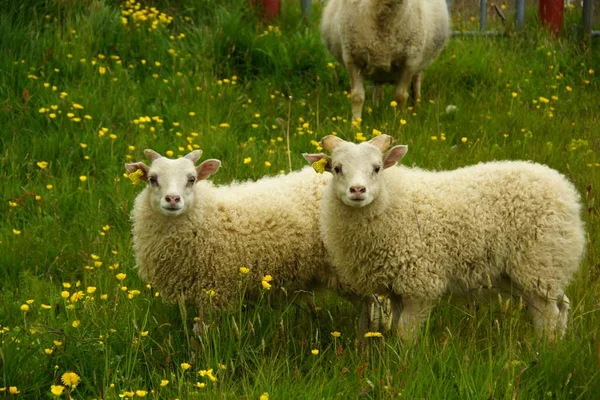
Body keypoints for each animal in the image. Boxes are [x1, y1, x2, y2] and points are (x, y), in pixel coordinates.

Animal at [125, 148, 386, 332]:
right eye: (152, 179)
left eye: (191, 179)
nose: (172, 199)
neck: (206, 213)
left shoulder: (214, 288)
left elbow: (202, 332)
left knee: (373, 306)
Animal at [302, 135, 584, 340]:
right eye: (337, 168)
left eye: (377, 168)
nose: (357, 190)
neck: (392, 199)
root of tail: (565, 189)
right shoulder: (396, 287)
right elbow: (395, 326)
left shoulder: (419, 282)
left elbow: (405, 332)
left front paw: (405, 366)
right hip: (546, 267)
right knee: (562, 307)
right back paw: (557, 346)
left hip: (539, 263)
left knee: (547, 315)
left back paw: (544, 350)